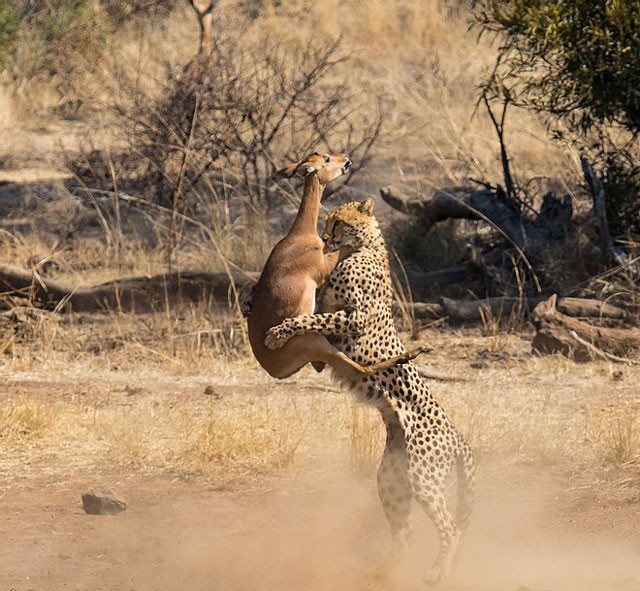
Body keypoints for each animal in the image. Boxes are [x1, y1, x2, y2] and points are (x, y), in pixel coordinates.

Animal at [264, 198, 476, 584]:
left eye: (338, 222)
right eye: (328, 221)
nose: (325, 237)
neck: (362, 246)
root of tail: (456, 435)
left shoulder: (355, 316)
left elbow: (312, 319)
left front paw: (279, 331)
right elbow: (317, 320)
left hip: (423, 477)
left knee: (451, 528)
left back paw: (436, 573)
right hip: (391, 478)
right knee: (406, 534)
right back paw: (379, 574)